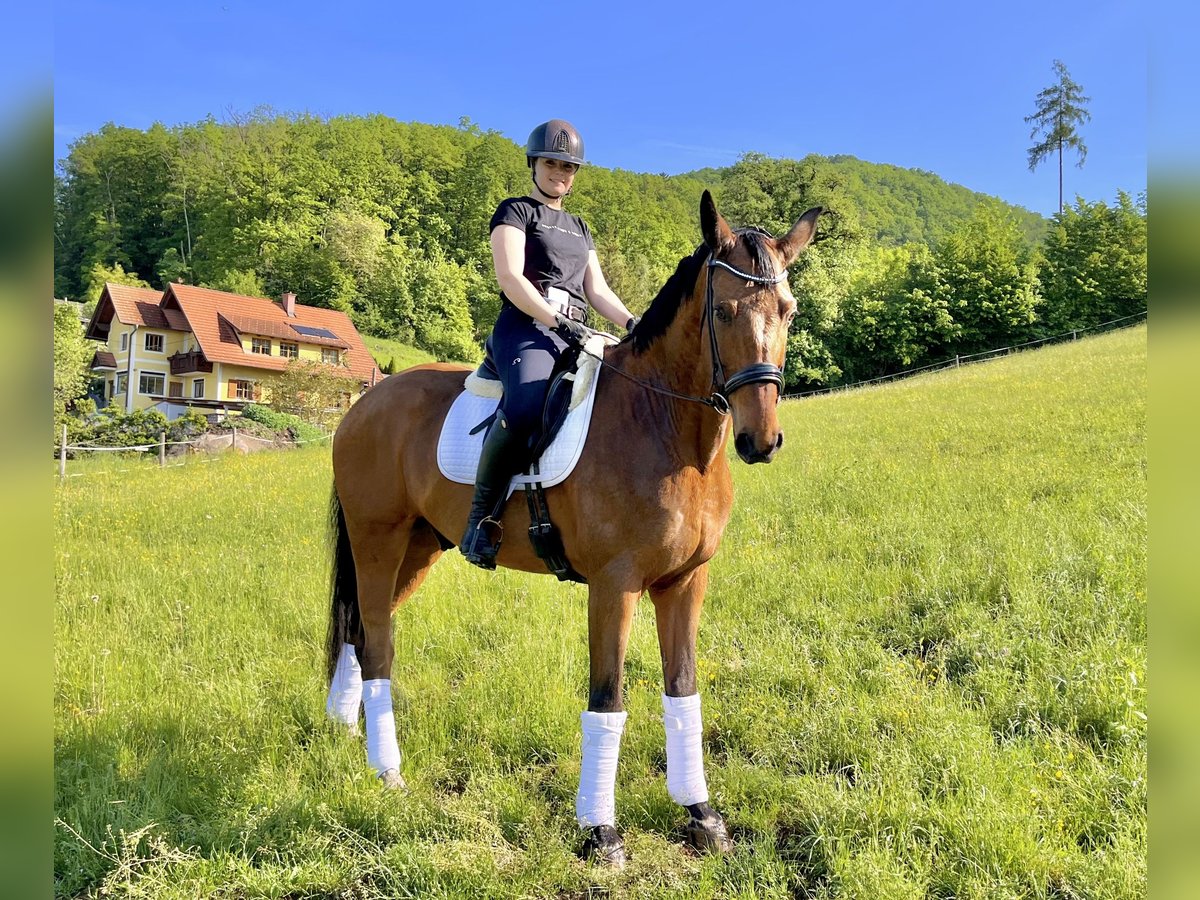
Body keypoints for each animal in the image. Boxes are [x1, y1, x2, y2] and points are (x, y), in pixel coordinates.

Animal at [324, 190, 820, 868]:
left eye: (788, 311)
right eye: (722, 310)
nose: (759, 441)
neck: (662, 423)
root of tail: (361, 406)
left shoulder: (685, 582)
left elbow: (683, 691)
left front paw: (702, 816)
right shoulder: (616, 585)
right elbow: (607, 698)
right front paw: (600, 832)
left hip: (419, 548)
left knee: (357, 629)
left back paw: (342, 730)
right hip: (379, 539)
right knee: (376, 641)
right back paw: (387, 770)